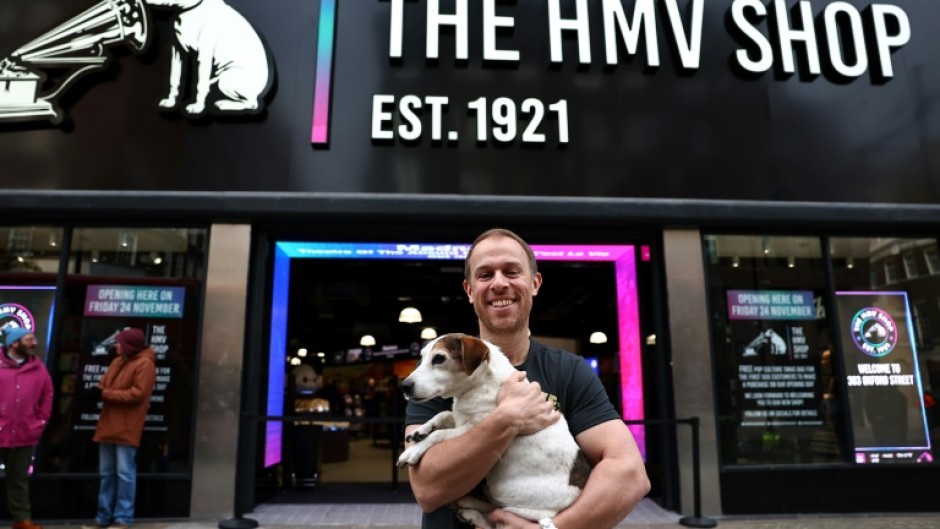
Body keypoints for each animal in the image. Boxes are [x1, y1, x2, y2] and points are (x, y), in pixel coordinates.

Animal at [394, 334, 588, 528]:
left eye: (439, 358)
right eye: (422, 356)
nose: (404, 386)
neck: (481, 383)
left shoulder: (476, 427)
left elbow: (439, 434)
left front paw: (414, 450)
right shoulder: (461, 419)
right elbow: (443, 415)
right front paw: (421, 430)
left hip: (512, 503)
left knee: (495, 516)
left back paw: (471, 512)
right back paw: (466, 506)